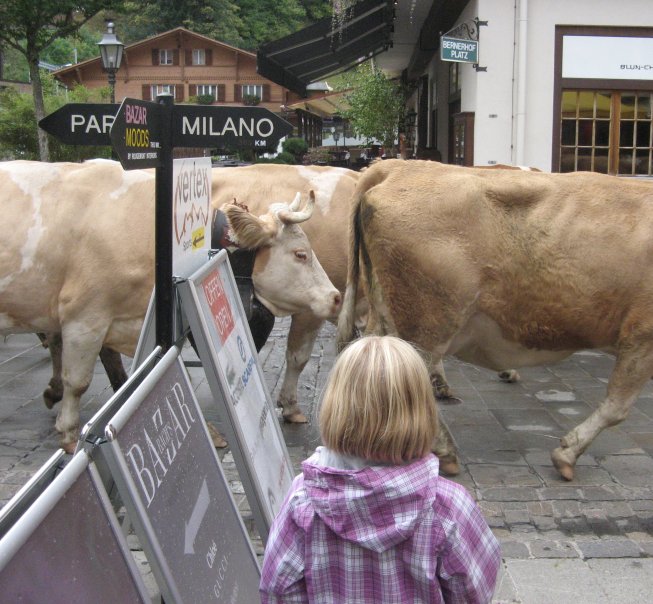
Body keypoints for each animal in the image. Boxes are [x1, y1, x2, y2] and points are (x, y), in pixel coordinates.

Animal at [336, 159, 652, 482]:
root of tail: (399, 165)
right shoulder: (641, 333)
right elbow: (617, 407)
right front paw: (567, 454)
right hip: (426, 321)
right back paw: (444, 450)